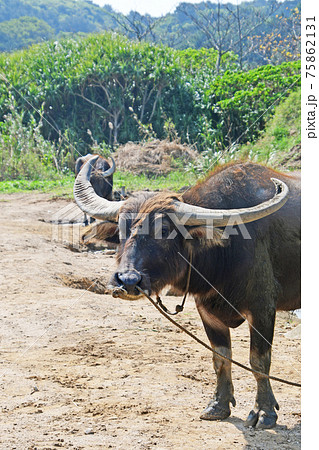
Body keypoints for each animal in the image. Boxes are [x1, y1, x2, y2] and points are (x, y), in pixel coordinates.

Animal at [74, 156, 302, 428]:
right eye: (121, 230)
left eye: (164, 231)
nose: (128, 281)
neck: (224, 251)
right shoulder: (207, 310)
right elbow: (221, 358)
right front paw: (218, 405)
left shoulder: (263, 308)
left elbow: (258, 360)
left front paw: (264, 412)